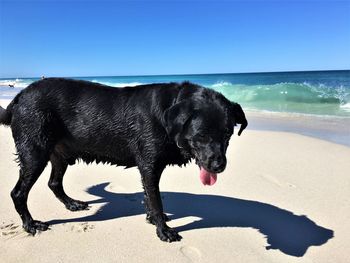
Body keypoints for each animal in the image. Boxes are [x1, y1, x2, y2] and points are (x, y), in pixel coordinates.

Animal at [0, 79, 246, 243]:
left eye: (227, 133)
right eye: (201, 135)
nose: (219, 166)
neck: (168, 115)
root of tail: (19, 97)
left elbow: (149, 199)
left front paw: (153, 219)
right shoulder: (149, 166)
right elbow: (156, 201)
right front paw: (163, 230)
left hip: (60, 155)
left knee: (54, 183)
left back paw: (72, 204)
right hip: (34, 153)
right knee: (18, 193)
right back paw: (30, 224)